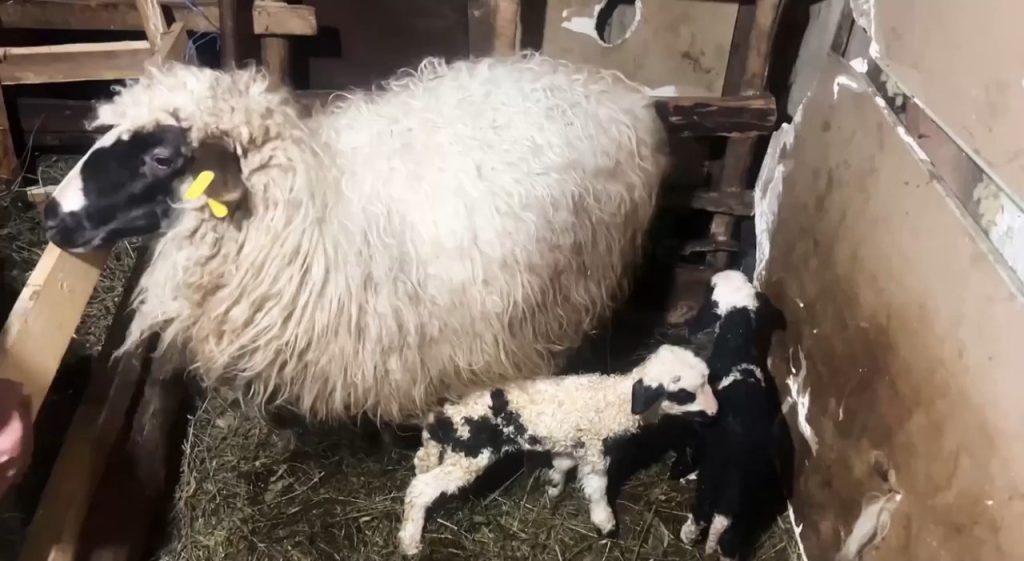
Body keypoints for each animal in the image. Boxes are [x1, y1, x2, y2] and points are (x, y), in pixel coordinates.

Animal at [397, 344, 718, 555]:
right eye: (685, 393)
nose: (715, 412)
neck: (616, 402)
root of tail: (441, 416)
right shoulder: (595, 452)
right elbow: (597, 489)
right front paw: (605, 523)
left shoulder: (568, 441)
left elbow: (562, 464)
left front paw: (553, 486)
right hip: (470, 453)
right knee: (419, 488)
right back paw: (410, 542)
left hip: (447, 449)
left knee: (421, 463)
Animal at [670, 270, 793, 561]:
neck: (738, 348)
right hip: (747, 507)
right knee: (730, 541)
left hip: (712, 481)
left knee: (702, 514)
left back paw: (687, 534)